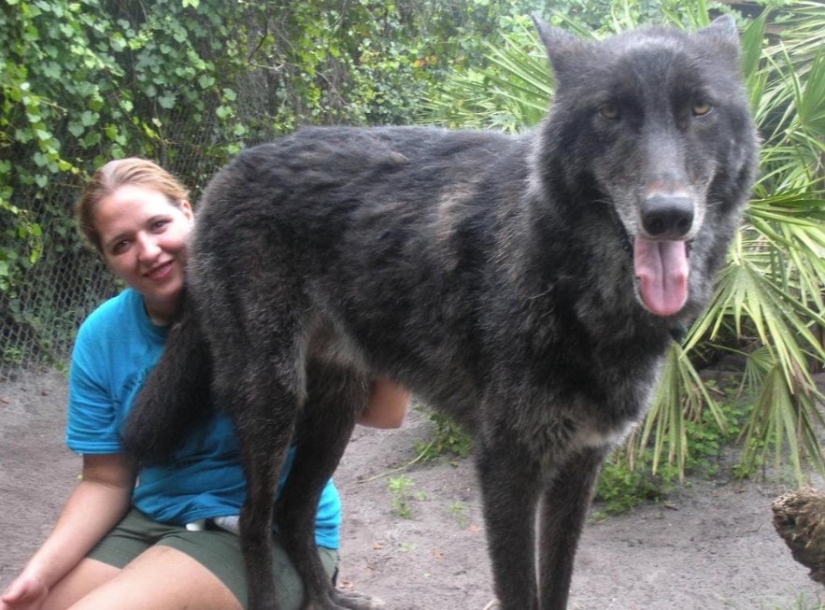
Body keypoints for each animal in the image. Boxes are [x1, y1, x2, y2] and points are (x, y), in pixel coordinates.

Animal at [123, 14, 758, 610]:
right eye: (609, 112)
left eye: (700, 107)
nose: (668, 216)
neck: (562, 276)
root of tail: (226, 173)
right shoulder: (506, 468)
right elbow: (521, 592)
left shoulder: (579, 468)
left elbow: (556, 588)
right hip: (272, 402)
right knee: (254, 522)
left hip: (335, 410)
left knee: (291, 511)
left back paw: (330, 599)